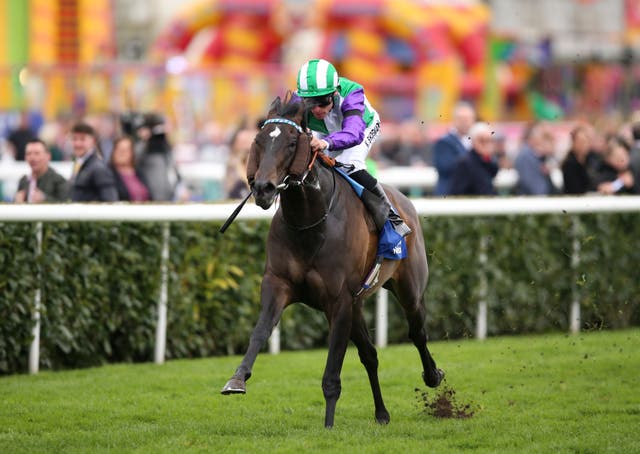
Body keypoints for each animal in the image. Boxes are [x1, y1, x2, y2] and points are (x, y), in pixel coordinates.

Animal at [222, 94, 442, 428]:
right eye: (259, 141)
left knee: (417, 332)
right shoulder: (279, 285)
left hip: (408, 289)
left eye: (292, 143)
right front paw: (237, 379)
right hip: (358, 304)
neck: (309, 221)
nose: (263, 188)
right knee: (370, 355)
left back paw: (432, 376)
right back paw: (381, 413)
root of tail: (404, 200)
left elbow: (333, 368)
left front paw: (328, 425)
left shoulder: (338, 301)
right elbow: (260, 331)